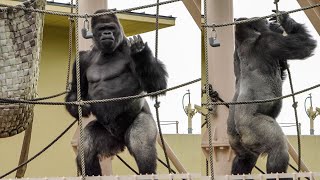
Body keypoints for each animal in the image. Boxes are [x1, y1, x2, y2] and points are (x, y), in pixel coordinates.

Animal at [64, 9, 168, 175]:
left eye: (111, 28)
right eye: (102, 28)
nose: (107, 33)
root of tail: (120, 142)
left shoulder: (127, 48)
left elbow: (157, 85)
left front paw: (140, 51)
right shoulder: (82, 59)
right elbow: (76, 89)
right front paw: (79, 106)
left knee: (141, 142)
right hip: (109, 138)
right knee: (86, 147)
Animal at [228, 14, 318, 176]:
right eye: (265, 22)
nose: (272, 25)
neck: (245, 39)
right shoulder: (268, 41)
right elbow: (304, 46)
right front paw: (286, 20)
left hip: (234, 138)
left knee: (245, 157)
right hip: (251, 127)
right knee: (278, 147)